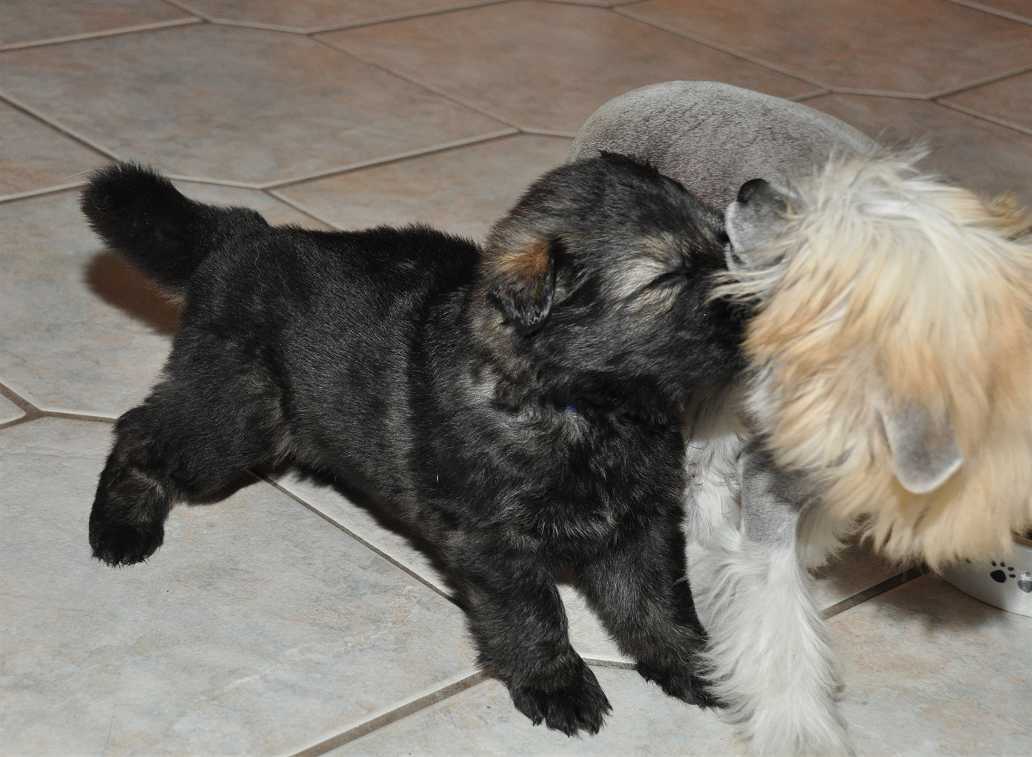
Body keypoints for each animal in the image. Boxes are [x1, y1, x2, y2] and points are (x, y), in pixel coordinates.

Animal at [81, 154, 744, 736]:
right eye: (667, 278)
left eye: (727, 248)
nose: (757, 315)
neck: (583, 409)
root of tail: (242, 237)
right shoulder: (492, 542)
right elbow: (533, 614)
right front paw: (556, 684)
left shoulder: (641, 519)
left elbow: (659, 603)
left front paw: (696, 667)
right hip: (237, 415)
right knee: (138, 430)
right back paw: (121, 526)